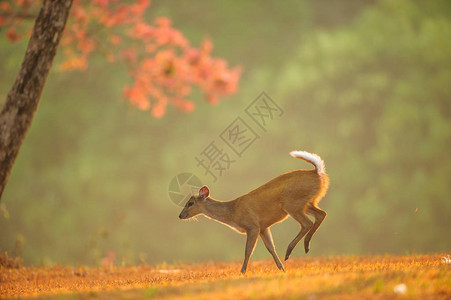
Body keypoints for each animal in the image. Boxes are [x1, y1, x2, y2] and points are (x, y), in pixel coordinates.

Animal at [178, 151, 330, 274]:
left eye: (190, 203)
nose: (180, 215)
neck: (232, 212)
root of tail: (317, 172)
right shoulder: (263, 227)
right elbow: (271, 248)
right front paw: (282, 268)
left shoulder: (252, 225)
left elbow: (248, 251)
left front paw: (242, 271)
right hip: (307, 202)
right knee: (321, 214)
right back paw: (304, 247)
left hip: (292, 203)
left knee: (307, 223)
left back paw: (290, 251)